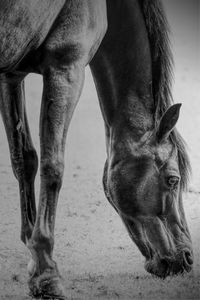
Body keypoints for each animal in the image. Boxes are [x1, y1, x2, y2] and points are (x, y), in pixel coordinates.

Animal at [0, 0, 194, 298]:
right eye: (173, 180)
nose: (188, 258)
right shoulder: (67, 66)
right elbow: (52, 166)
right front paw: (46, 272)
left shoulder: (11, 75)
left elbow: (24, 159)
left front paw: (33, 255)